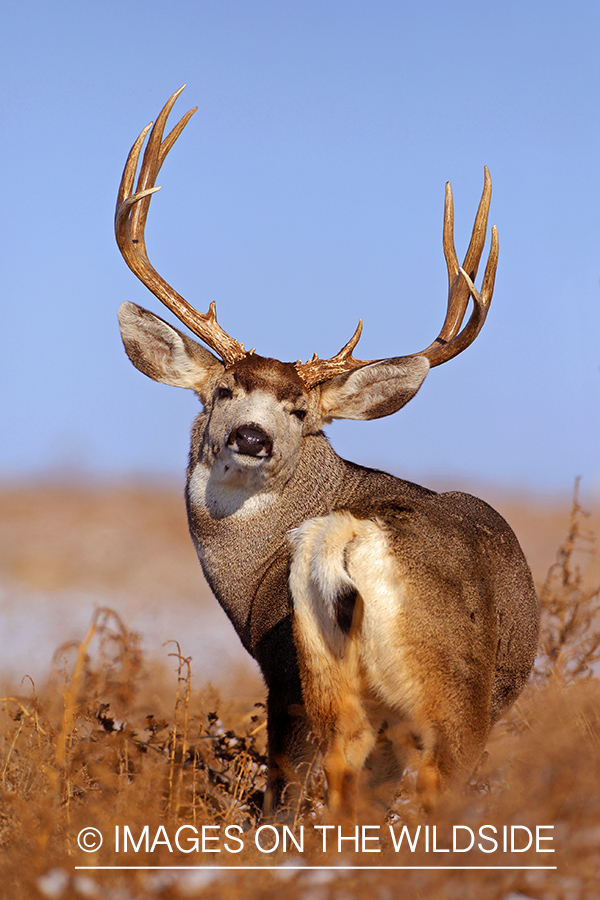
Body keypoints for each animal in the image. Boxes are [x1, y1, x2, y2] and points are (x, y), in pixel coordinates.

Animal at [115, 87, 539, 823]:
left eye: (301, 412)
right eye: (224, 389)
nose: (249, 437)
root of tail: (349, 538)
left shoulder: (282, 669)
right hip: (445, 692)